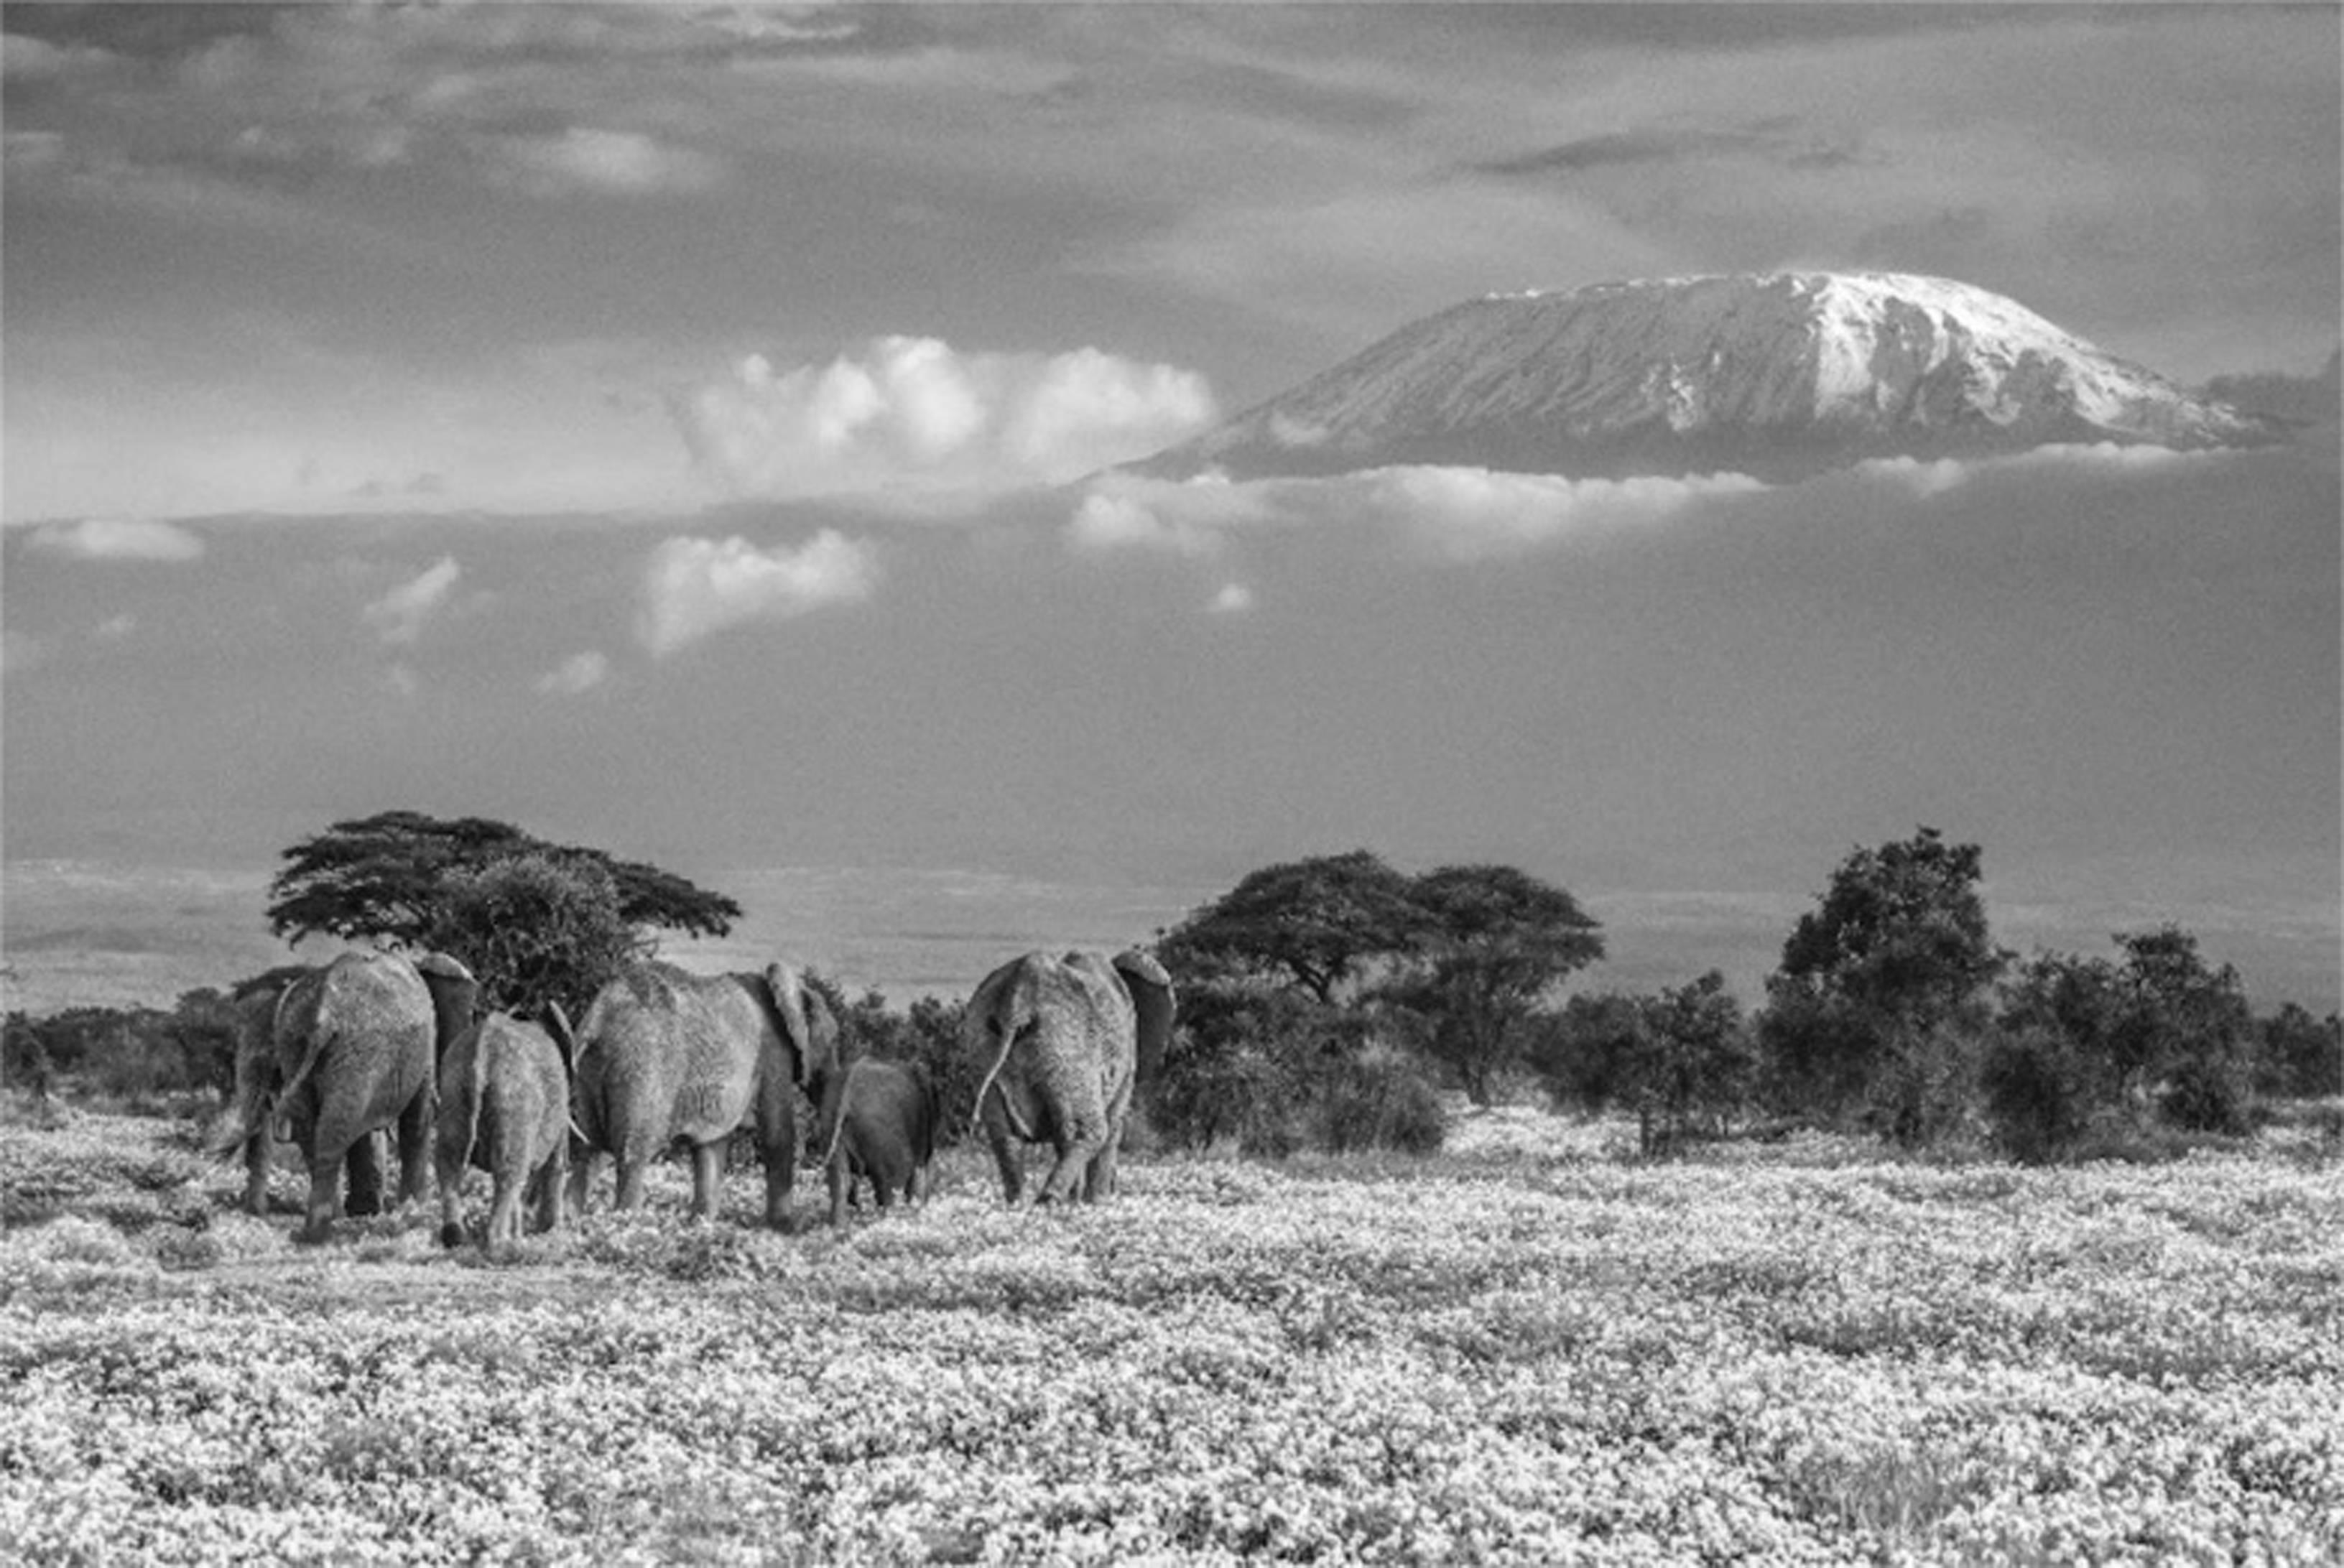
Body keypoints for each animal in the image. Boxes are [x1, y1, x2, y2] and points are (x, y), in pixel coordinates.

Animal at [216, 947, 476, 1237]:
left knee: (316, 1128)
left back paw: (326, 1221)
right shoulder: (425, 1043)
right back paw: (320, 1230)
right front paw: (414, 1212)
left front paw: (370, 1211)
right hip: (358, 1051)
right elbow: (417, 1121)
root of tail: (323, 1012)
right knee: (335, 1129)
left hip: (302, 1046)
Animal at [438, 1003, 574, 1246]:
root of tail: (484, 1045)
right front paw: (549, 1234)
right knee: (510, 1171)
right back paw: (500, 1244)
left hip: (454, 1089)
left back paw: (456, 1240)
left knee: (450, 1161)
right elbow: (555, 1164)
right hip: (513, 1095)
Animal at [567, 960, 843, 1228]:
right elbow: (778, 1135)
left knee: (591, 1150)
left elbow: (712, 1146)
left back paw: (567, 1223)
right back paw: (627, 1224)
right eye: (832, 1042)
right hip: (644, 1067)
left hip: (593, 1071)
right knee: (633, 1152)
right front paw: (788, 1226)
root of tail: (597, 1018)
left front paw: (701, 1224)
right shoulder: (774, 1052)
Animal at [810, 1059, 937, 1228]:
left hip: (828, 1126)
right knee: (893, 1183)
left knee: (840, 1182)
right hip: (880, 1134)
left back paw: (840, 1228)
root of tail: (847, 1094)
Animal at [960, 947, 1172, 1209]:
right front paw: (1098, 1202)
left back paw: (1019, 1202)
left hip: (984, 1043)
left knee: (1005, 1134)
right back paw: (1049, 1200)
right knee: (1089, 1130)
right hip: (1068, 1048)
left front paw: (1080, 1201)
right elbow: (1114, 1124)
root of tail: (1016, 1003)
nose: (1114, 1189)